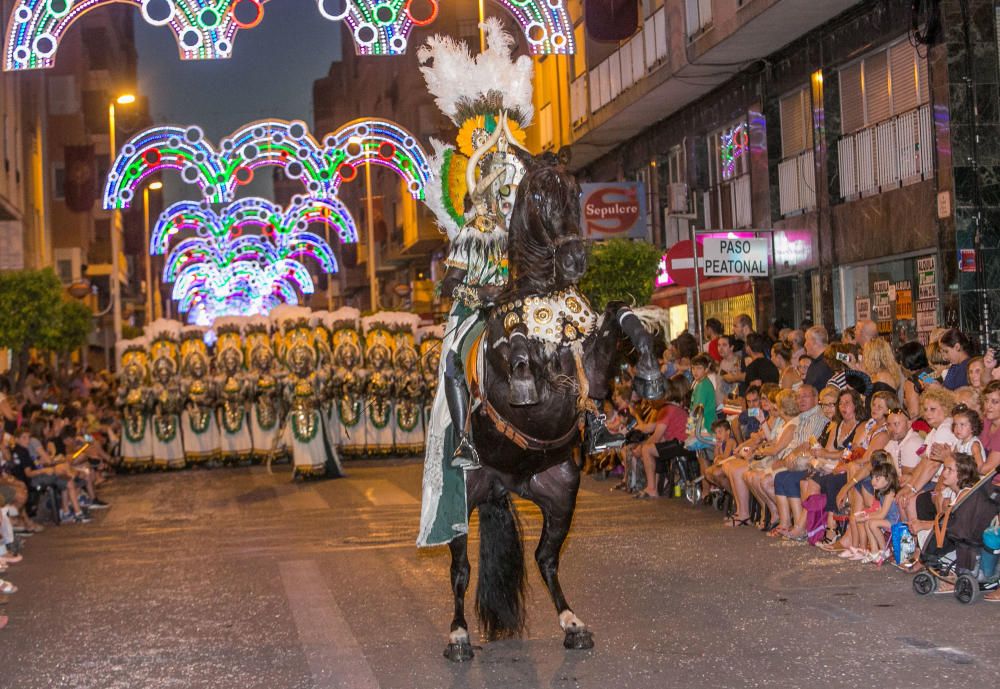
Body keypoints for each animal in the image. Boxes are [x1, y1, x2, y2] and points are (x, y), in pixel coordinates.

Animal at [444, 155, 664, 660]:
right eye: (541, 194)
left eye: (576, 190)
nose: (575, 260)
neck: (542, 293)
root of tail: (505, 482)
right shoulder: (507, 366)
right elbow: (515, 343)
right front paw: (525, 371)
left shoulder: (592, 367)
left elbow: (618, 313)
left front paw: (648, 370)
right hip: (462, 500)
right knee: (460, 569)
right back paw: (459, 635)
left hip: (562, 491)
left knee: (545, 558)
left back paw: (573, 624)